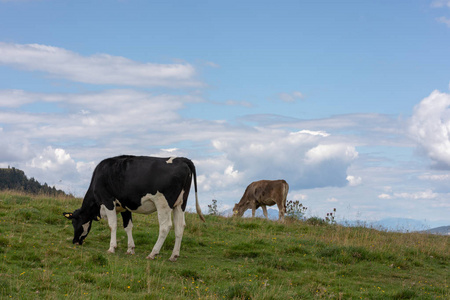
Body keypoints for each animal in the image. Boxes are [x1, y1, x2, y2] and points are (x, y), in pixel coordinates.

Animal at [63, 156, 204, 262]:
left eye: (74, 223)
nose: (74, 241)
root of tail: (181, 159)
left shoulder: (108, 201)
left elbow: (112, 225)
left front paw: (112, 248)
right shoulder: (125, 206)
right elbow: (128, 226)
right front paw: (130, 249)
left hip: (163, 203)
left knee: (165, 226)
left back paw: (153, 253)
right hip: (180, 204)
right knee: (180, 226)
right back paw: (174, 256)